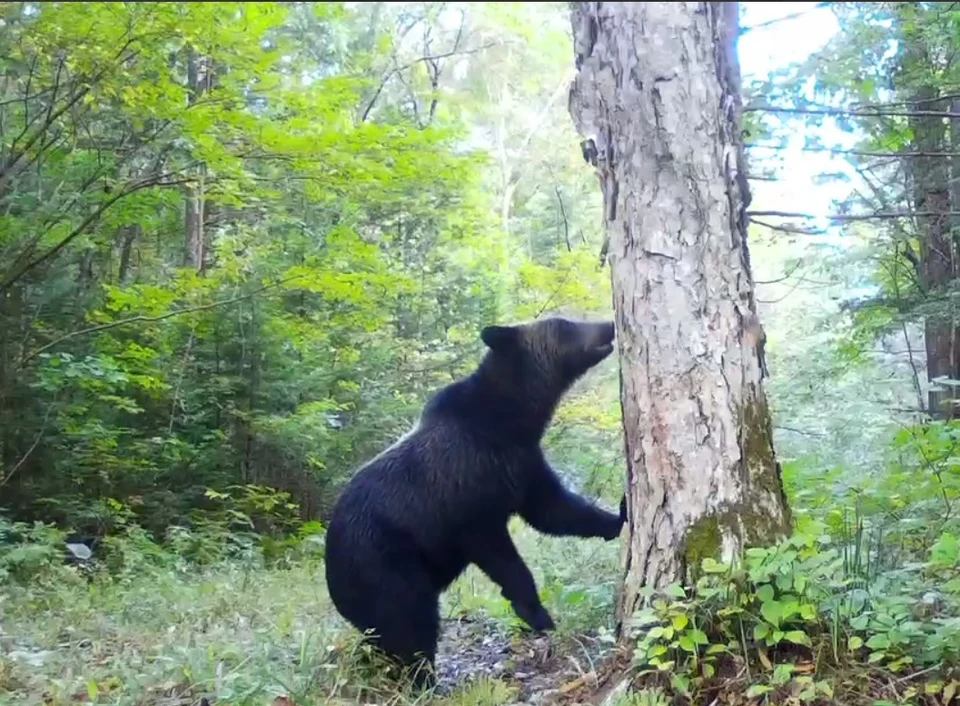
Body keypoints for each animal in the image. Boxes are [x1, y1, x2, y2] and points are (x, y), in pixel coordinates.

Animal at [322, 314, 628, 688]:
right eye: (564, 325)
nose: (608, 323)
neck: (510, 422)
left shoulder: (522, 465)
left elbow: (554, 510)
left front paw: (619, 515)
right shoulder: (467, 497)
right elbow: (503, 556)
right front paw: (537, 614)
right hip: (383, 563)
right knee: (408, 620)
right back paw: (423, 680)